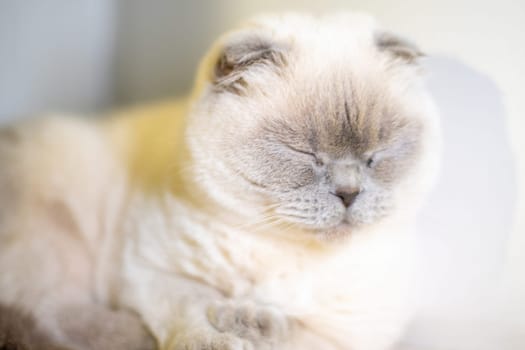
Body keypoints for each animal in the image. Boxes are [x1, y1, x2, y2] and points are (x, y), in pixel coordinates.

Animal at [0, 12, 440, 348]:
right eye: (303, 153)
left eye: (377, 154)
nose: (349, 193)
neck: (285, 252)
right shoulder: (148, 272)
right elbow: (194, 312)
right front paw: (228, 331)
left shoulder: (353, 333)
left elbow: (297, 331)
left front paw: (253, 323)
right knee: (44, 314)